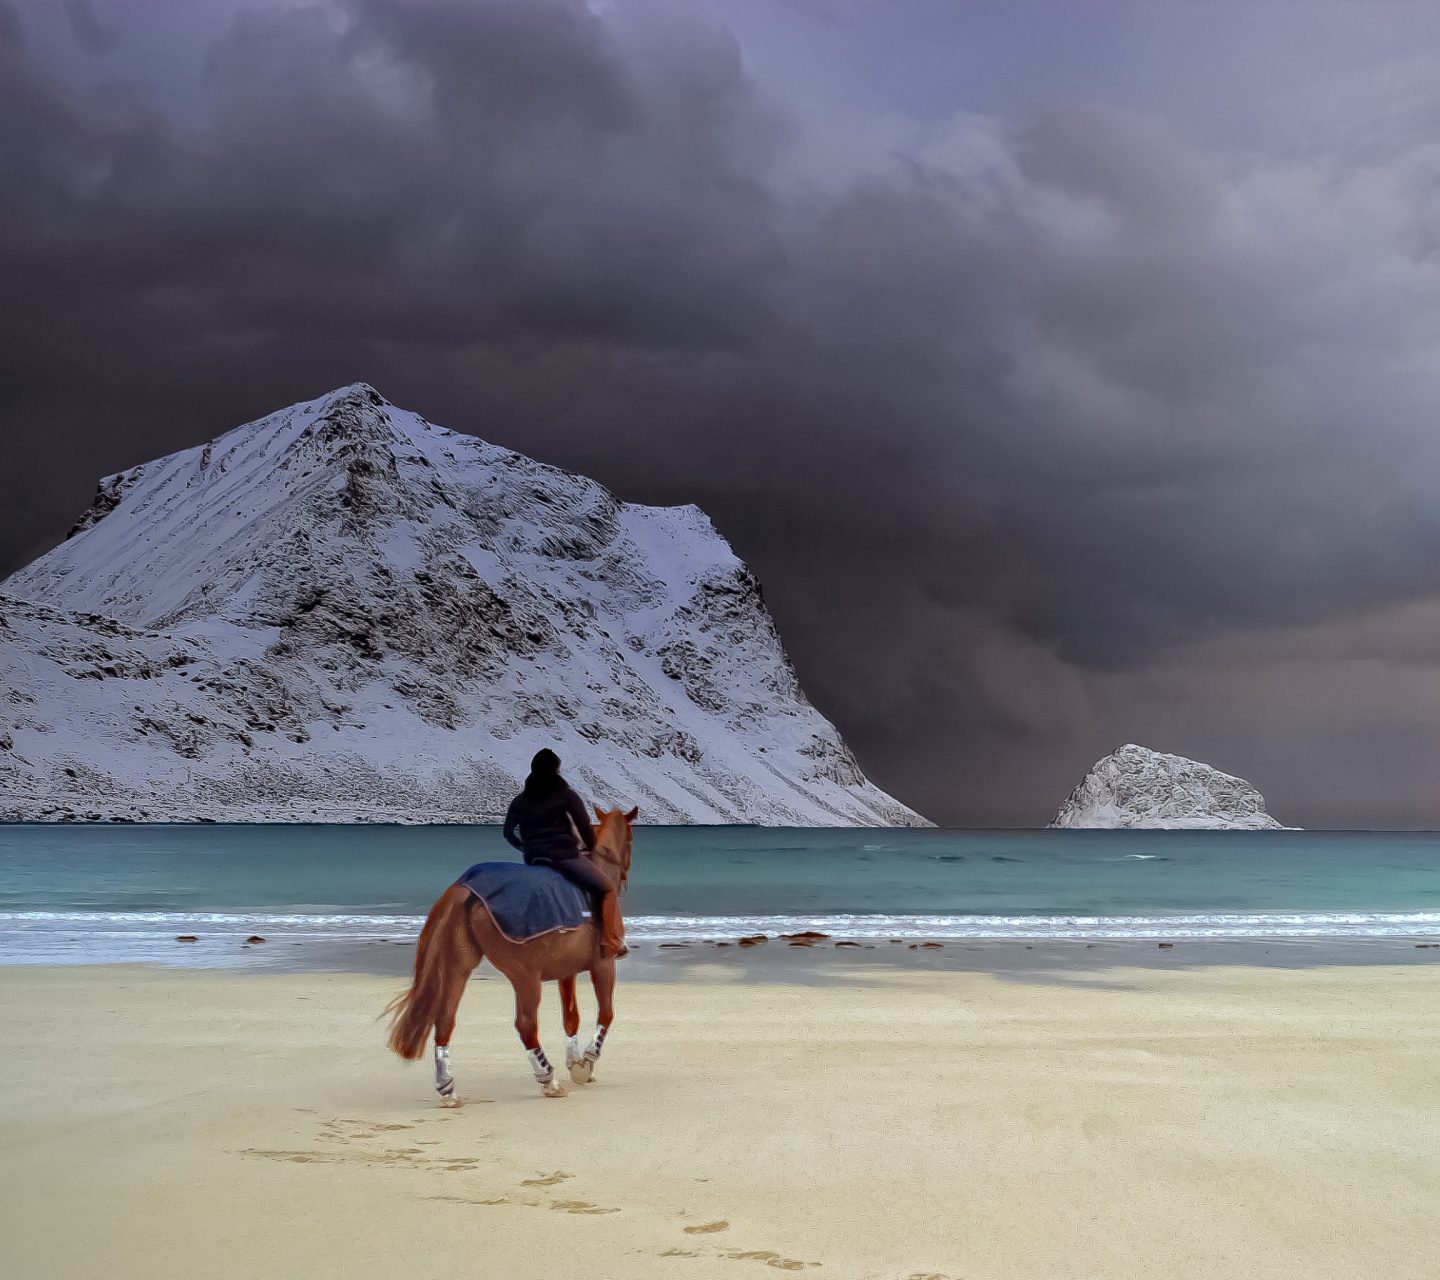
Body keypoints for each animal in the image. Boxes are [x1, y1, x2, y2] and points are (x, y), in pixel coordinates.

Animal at [383, 806, 636, 1100]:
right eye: (630, 839)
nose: (624, 877)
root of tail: (468, 889)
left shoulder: (567, 972)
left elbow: (571, 1018)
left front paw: (574, 1062)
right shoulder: (604, 965)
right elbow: (606, 1014)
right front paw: (586, 1061)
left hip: (458, 966)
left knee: (444, 1018)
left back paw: (447, 1088)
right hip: (524, 976)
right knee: (526, 1025)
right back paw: (548, 1080)